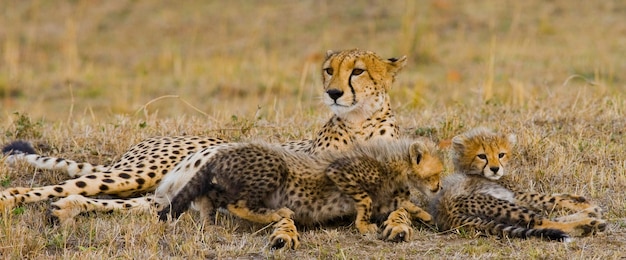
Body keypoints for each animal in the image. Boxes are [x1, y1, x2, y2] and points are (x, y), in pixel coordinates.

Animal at [1, 48, 410, 223]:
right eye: (328, 70)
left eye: (357, 71)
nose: (334, 93)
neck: (359, 123)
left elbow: (401, 207)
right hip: (136, 173)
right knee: (46, 187)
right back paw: (12, 200)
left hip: (161, 195)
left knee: (116, 204)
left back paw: (66, 209)